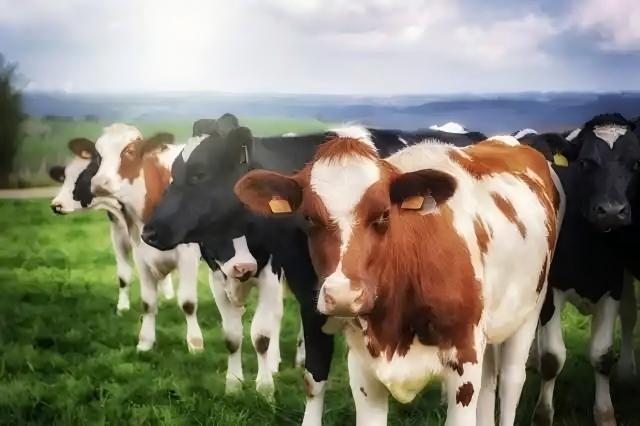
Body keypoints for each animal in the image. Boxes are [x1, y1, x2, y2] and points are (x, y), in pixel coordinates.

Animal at [48, 138, 173, 313]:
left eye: (86, 175)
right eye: (65, 177)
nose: (56, 205)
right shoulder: (119, 235)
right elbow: (124, 275)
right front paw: (123, 308)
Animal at [141, 119, 487, 425]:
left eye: (200, 174)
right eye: (173, 173)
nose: (149, 231)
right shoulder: (309, 294)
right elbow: (309, 372)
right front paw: (236, 384)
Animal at [234, 134, 564, 426]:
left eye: (383, 215)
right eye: (308, 218)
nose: (343, 295)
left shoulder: (464, 360)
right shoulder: (363, 369)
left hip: (530, 310)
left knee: (510, 382)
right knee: (490, 383)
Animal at [528, 114, 640, 426]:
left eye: (635, 163)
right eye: (586, 163)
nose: (612, 211)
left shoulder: (612, 284)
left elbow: (601, 355)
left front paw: (605, 413)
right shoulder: (551, 289)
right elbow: (552, 358)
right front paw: (543, 414)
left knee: (630, 316)